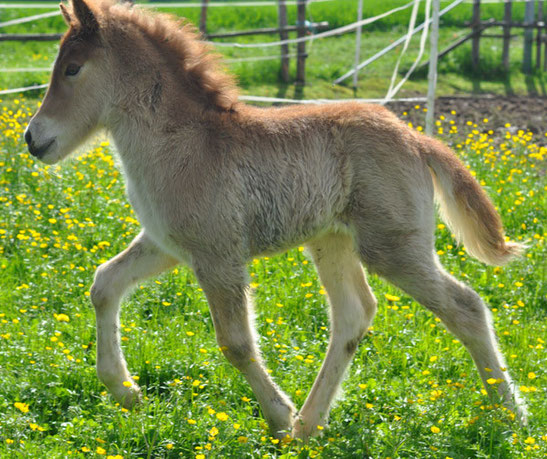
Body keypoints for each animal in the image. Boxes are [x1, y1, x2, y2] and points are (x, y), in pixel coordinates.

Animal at [24, 0, 528, 440]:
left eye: (72, 69)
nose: (32, 138)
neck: (183, 143)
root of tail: (418, 140)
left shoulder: (219, 256)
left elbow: (236, 343)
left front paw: (277, 418)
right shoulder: (168, 244)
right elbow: (104, 283)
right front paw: (126, 392)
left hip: (393, 246)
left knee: (466, 306)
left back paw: (512, 415)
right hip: (331, 240)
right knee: (354, 313)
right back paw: (311, 426)